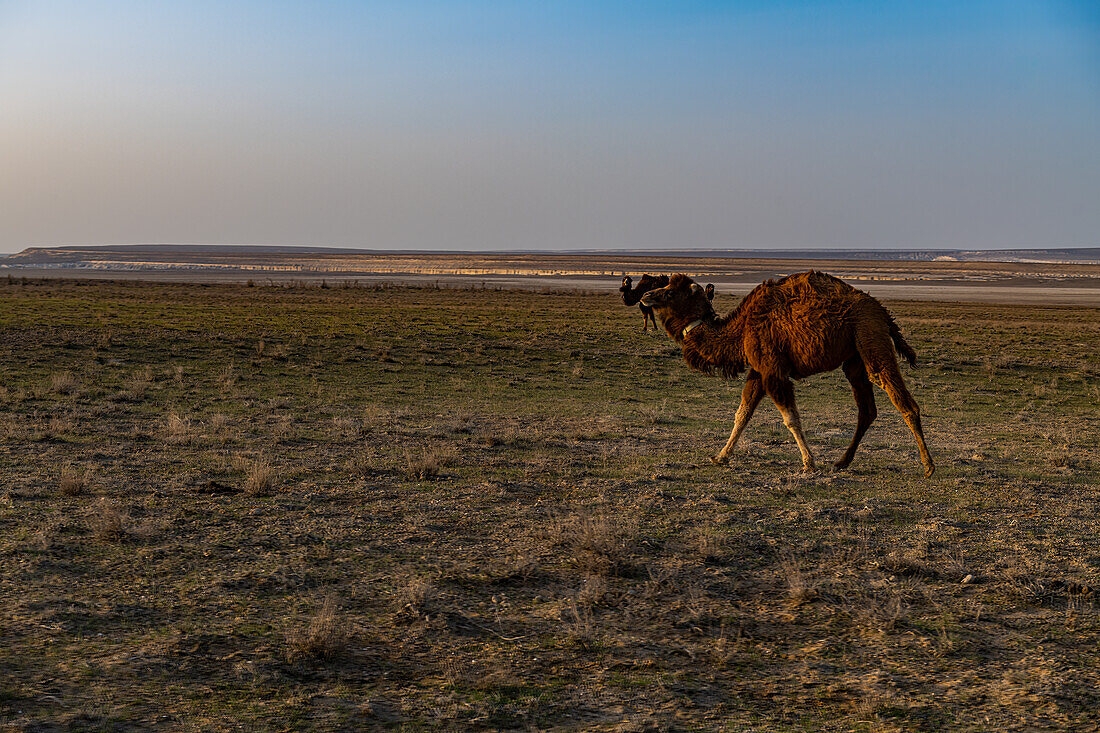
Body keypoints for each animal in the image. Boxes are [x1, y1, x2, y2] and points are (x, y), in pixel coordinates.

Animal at [642, 270, 932, 477]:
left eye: (669, 292)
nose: (646, 296)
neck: (741, 328)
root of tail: (882, 311)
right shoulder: (758, 370)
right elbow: (742, 413)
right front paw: (720, 456)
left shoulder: (772, 368)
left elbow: (790, 417)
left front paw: (809, 463)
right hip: (854, 357)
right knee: (867, 409)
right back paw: (841, 462)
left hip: (870, 335)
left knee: (899, 395)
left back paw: (928, 465)